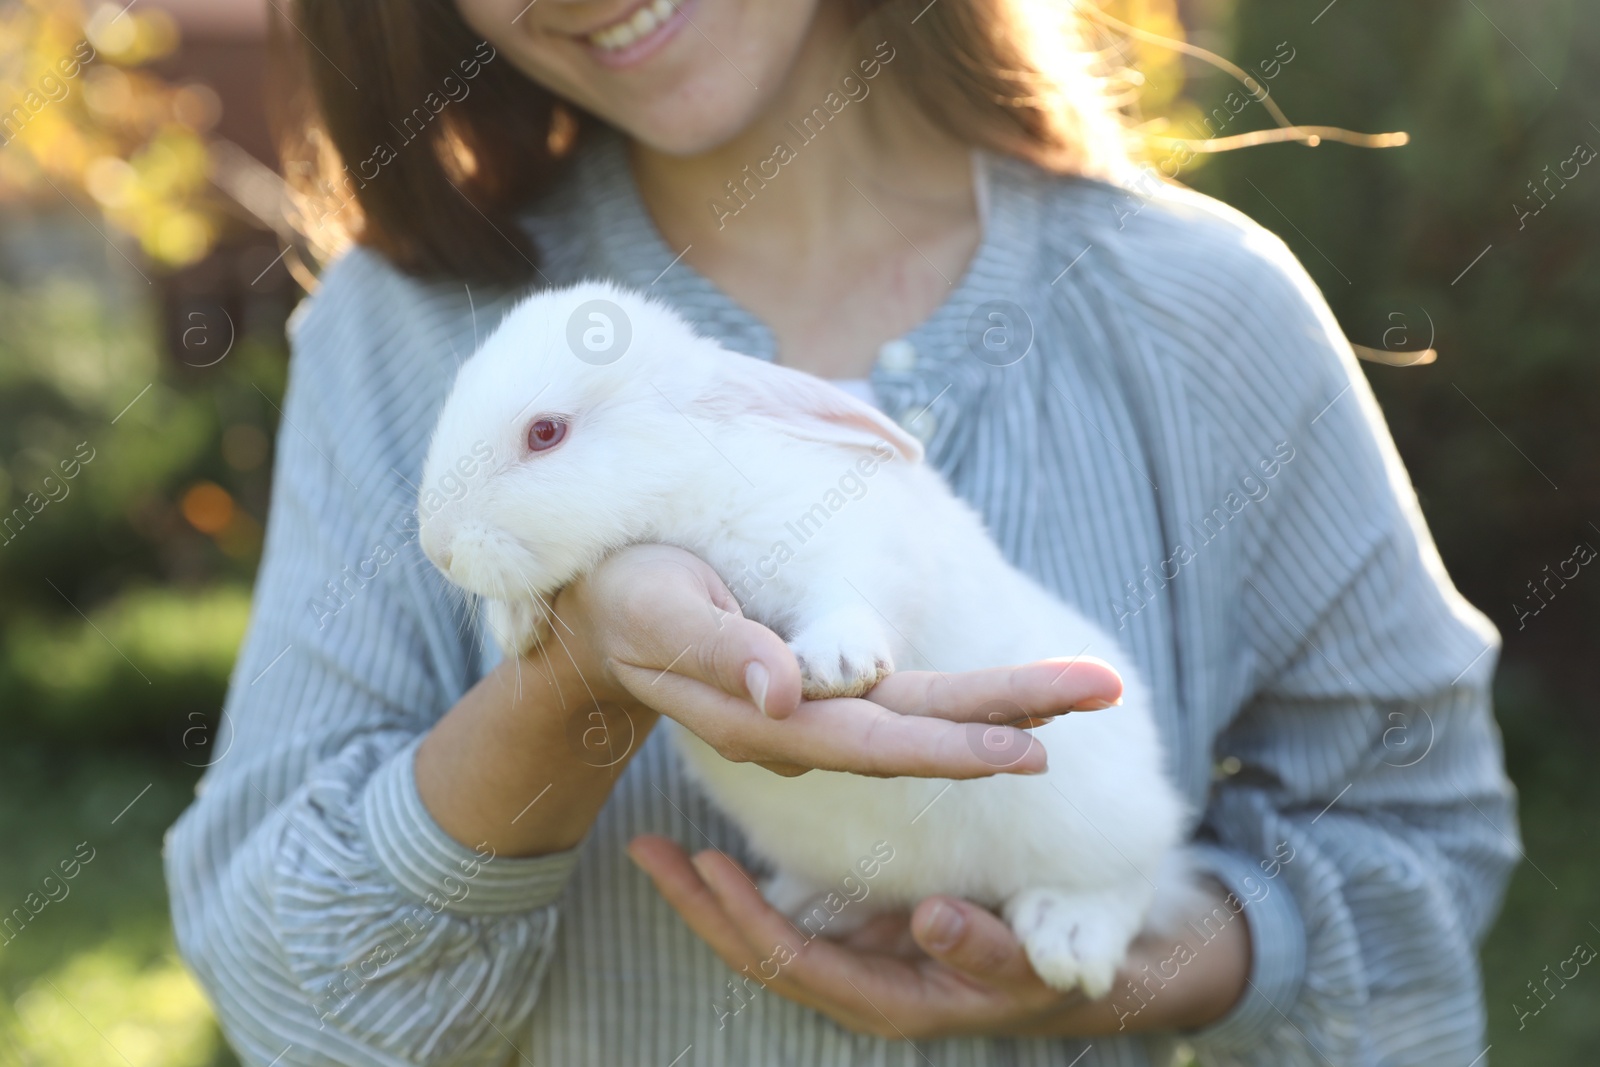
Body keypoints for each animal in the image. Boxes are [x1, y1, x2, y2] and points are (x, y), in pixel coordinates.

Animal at [419, 279, 1196, 998]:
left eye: (545, 432)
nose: (437, 549)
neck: (688, 479)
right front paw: (515, 625)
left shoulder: (849, 542)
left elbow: (853, 598)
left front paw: (837, 666)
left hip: (1101, 820)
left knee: (1134, 880)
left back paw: (1069, 942)